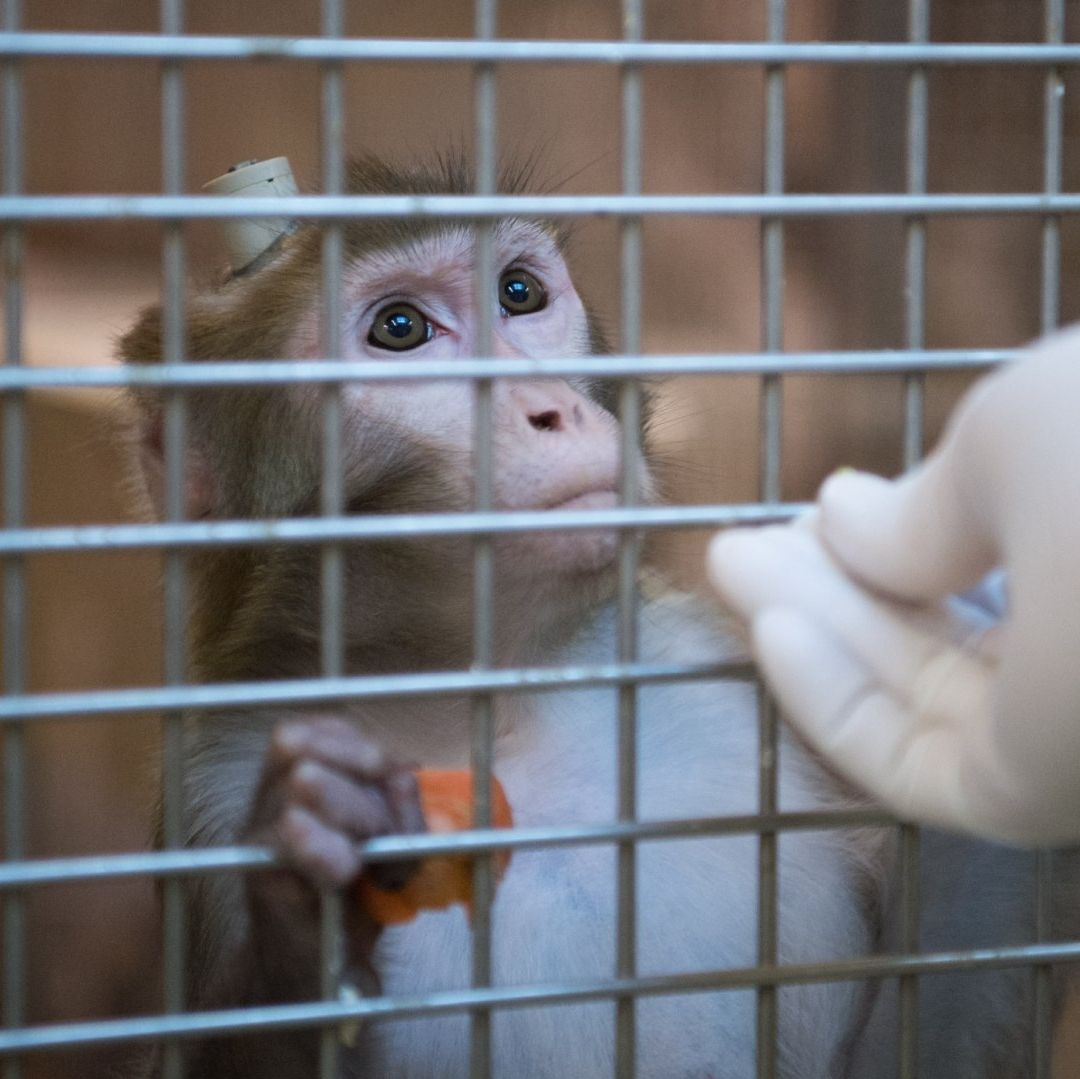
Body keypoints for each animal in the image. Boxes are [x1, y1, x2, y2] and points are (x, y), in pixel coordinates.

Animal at [120, 154, 1080, 1078]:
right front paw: (305, 900)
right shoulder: (218, 779)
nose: (553, 407)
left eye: (519, 292)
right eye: (399, 330)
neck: (494, 696)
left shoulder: (688, 661)